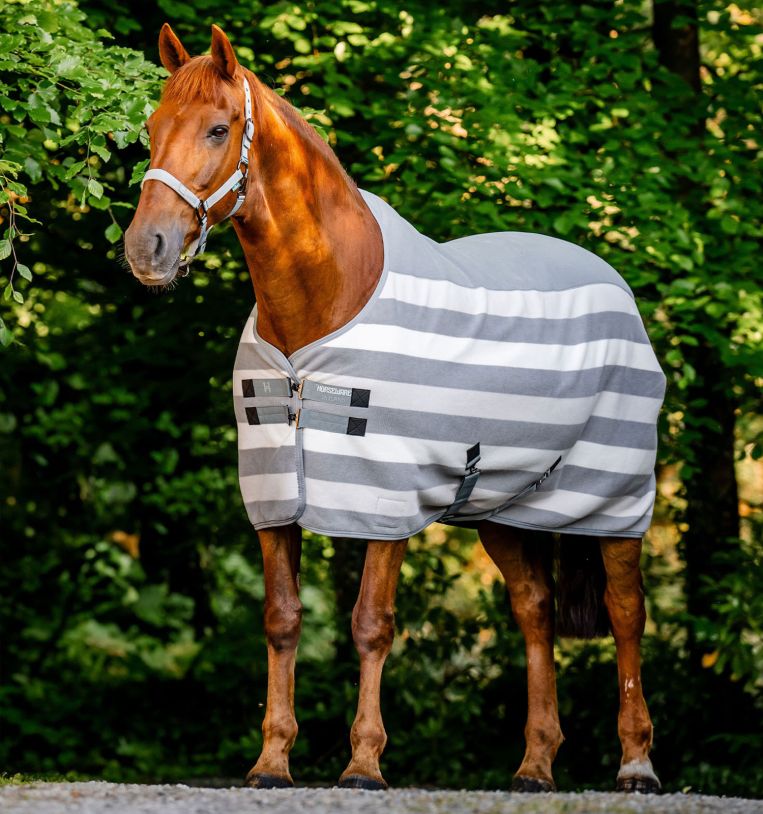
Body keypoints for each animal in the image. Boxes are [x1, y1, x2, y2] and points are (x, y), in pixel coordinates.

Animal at [124, 23, 665, 794]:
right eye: (150, 128)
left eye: (218, 129)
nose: (148, 249)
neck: (323, 306)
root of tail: (612, 280)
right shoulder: (273, 496)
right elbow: (282, 619)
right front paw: (272, 762)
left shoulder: (387, 497)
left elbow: (371, 622)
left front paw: (363, 764)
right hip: (502, 505)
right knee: (535, 611)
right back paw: (534, 766)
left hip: (614, 493)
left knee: (625, 613)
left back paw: (635, 763)